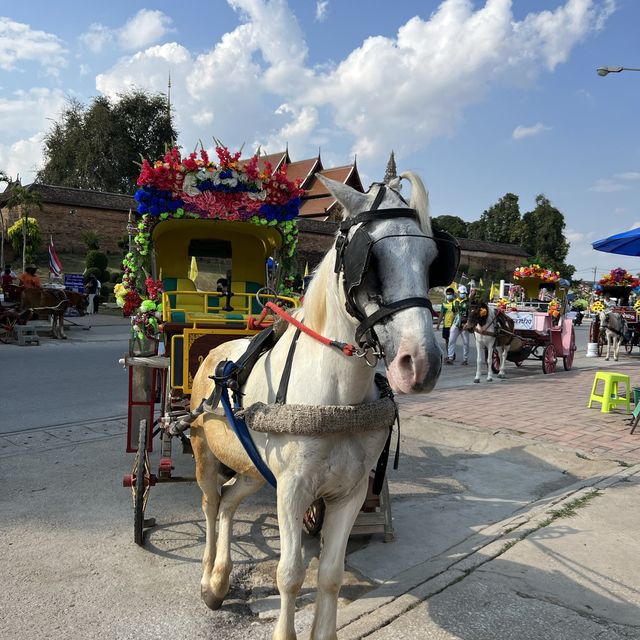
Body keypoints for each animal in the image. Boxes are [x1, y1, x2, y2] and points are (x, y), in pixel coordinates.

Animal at [188, 171, 452, 640]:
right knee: (211, 503)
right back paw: (207, 578)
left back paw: (220, 578)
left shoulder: (350, 492)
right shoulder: (292, 490)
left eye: (431, 259)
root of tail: (216, 350)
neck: (337, 402)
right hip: (204, 450)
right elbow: (290, 574)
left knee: (231, 501)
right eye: (370, 258)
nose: (422, 363)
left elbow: (330, 573)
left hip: (252, 467)